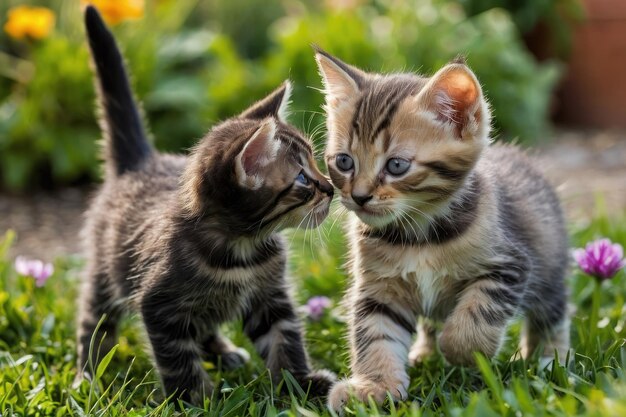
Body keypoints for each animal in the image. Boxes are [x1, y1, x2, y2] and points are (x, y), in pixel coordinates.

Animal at [77, 5, 336, 404]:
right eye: (302, 180)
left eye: (317, 164)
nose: (331, 188)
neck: (242, 246)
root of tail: (140, 163)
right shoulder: (159, 307)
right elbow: (177, 360)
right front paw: (196, 400)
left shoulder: (270, 296)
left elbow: (285, 339)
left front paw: (299, 384)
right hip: (107, 270)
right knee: (95, 320)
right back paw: (87, 371)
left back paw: (224, 351)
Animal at [314, 49, 568, 410]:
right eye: (344, 162)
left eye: (396, 165)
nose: (359, 196)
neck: (417, 235)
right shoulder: (378, 289)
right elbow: (376, 334)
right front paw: (375, 386)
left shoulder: (510, 265)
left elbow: (474, 318)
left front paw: (465, 353)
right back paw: (425, 352)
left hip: (549, 268)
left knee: (553, 314)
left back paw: (550, 357)